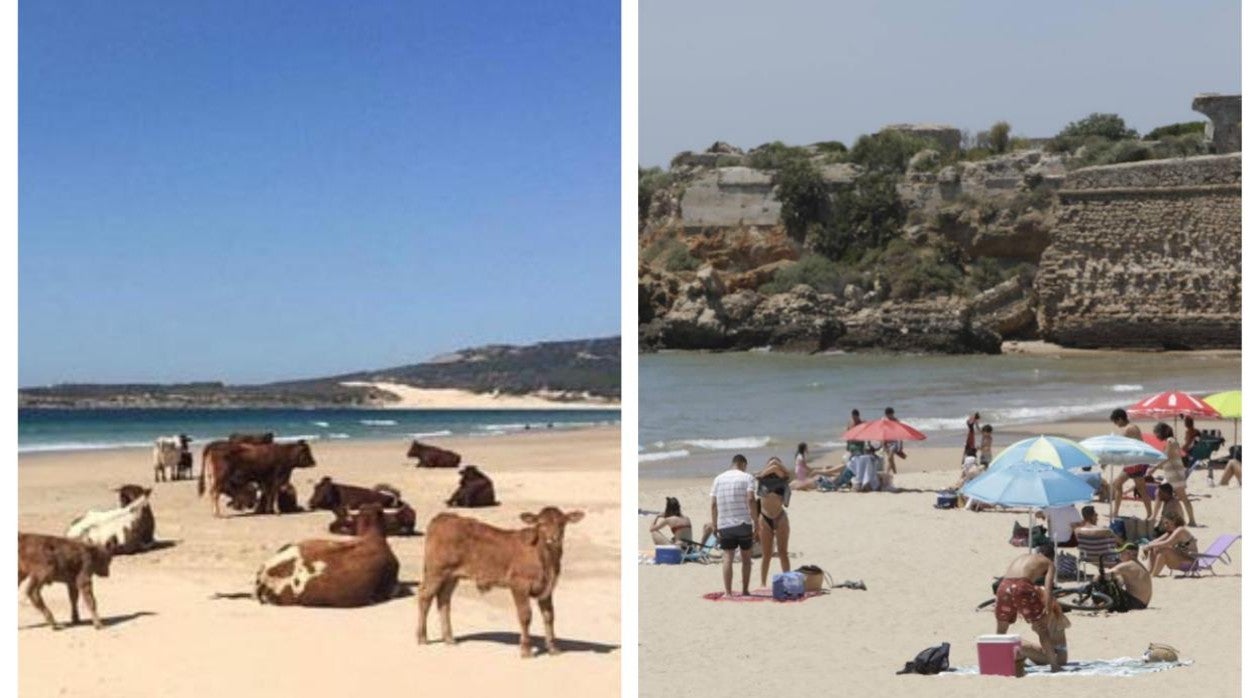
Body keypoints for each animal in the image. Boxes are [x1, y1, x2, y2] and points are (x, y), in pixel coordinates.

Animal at [414, 504, 579, 659]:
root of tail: (444, 517)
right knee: (424, 597)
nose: (553, 538)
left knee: (444, 600)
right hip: (436, 572)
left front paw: (553, 648)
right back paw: (422, 638)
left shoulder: (547, 588)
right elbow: (525, 616)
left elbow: (549, 616)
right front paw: (526, 650)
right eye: (540, 524)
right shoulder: (519, 585)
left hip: (451, 576)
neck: (545, 558)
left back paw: (449, 638)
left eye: (562, 523)